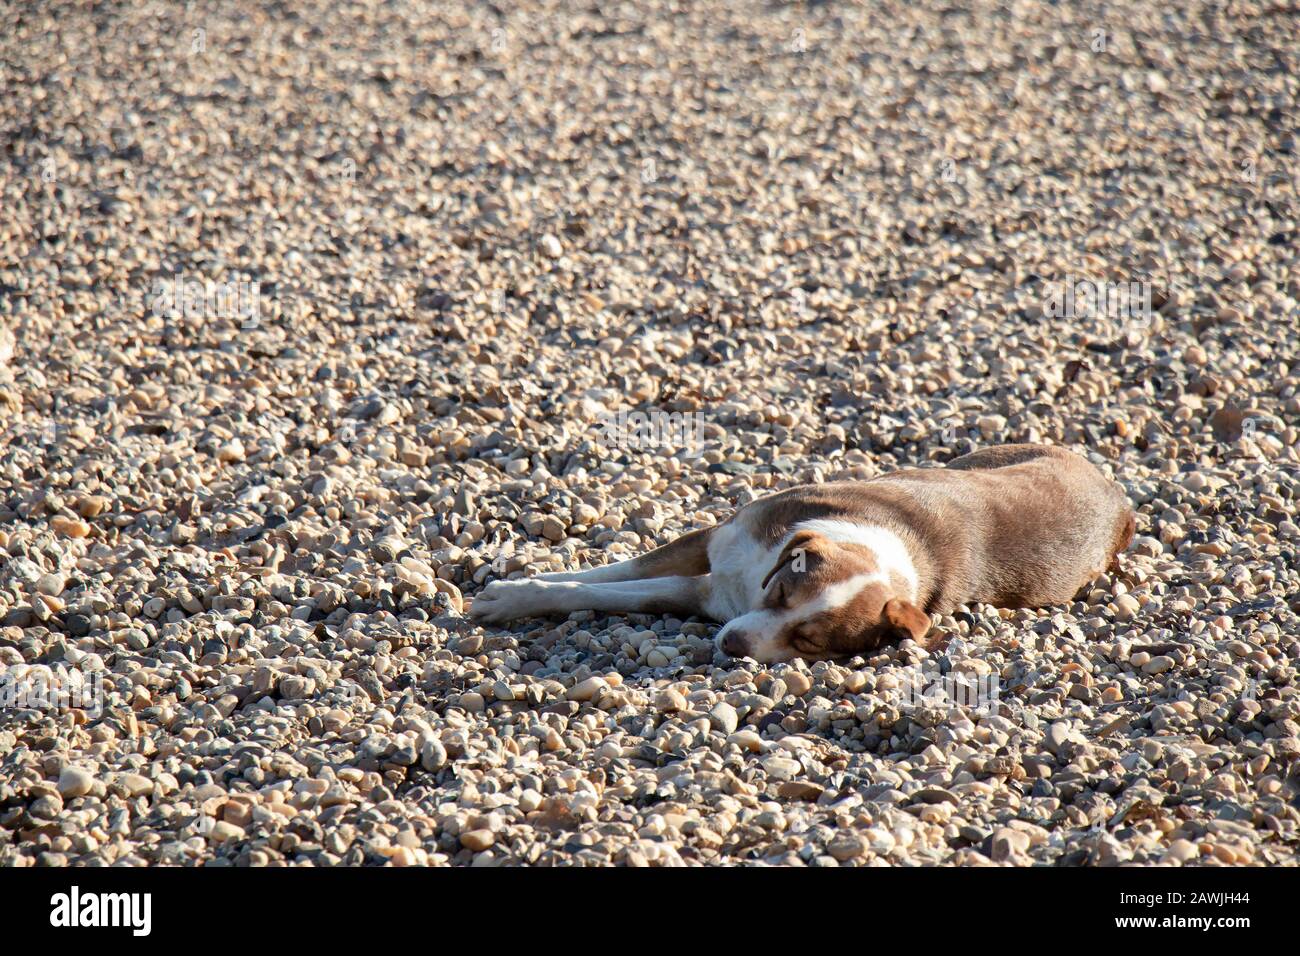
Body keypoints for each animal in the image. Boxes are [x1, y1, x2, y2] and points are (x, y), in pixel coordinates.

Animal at [467, 444, 1128, 660]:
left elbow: (625, 593)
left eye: (809, 642)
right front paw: (511, 589)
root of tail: (1118, 496)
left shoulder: (707, 596)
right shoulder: (714, 545)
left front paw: (515, 599)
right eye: (782, 592)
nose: (734, 644)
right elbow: (613, 570)